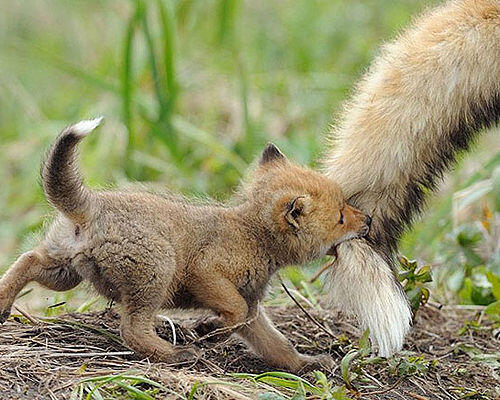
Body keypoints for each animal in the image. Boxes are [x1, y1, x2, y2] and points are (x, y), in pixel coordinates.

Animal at [0, 119, 372, 372]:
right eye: (341, 217)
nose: (368, 220)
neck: (253, 235)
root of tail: (92, 204)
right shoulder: (205, 274)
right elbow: (233, 312)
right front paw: (208, 332)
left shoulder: (253, 308)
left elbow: (276, 345)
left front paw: (306, 363)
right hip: (157, 274)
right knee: (132, 330)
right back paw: (177, 355)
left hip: (64, 270)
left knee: (27, 259)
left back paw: (3, 303)